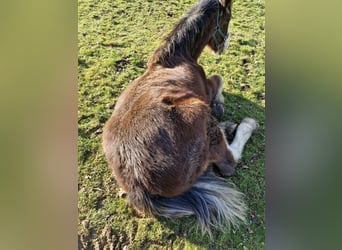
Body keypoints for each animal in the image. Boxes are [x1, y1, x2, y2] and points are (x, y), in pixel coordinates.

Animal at [103, 0, 258, 234]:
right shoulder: (206, 88)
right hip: (198, 110)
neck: (177, 57)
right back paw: (243, 125)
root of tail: (137, 183)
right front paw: (220, 106)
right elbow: (219, 79)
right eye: (227, 18)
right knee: (228, 162)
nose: (224, 46)